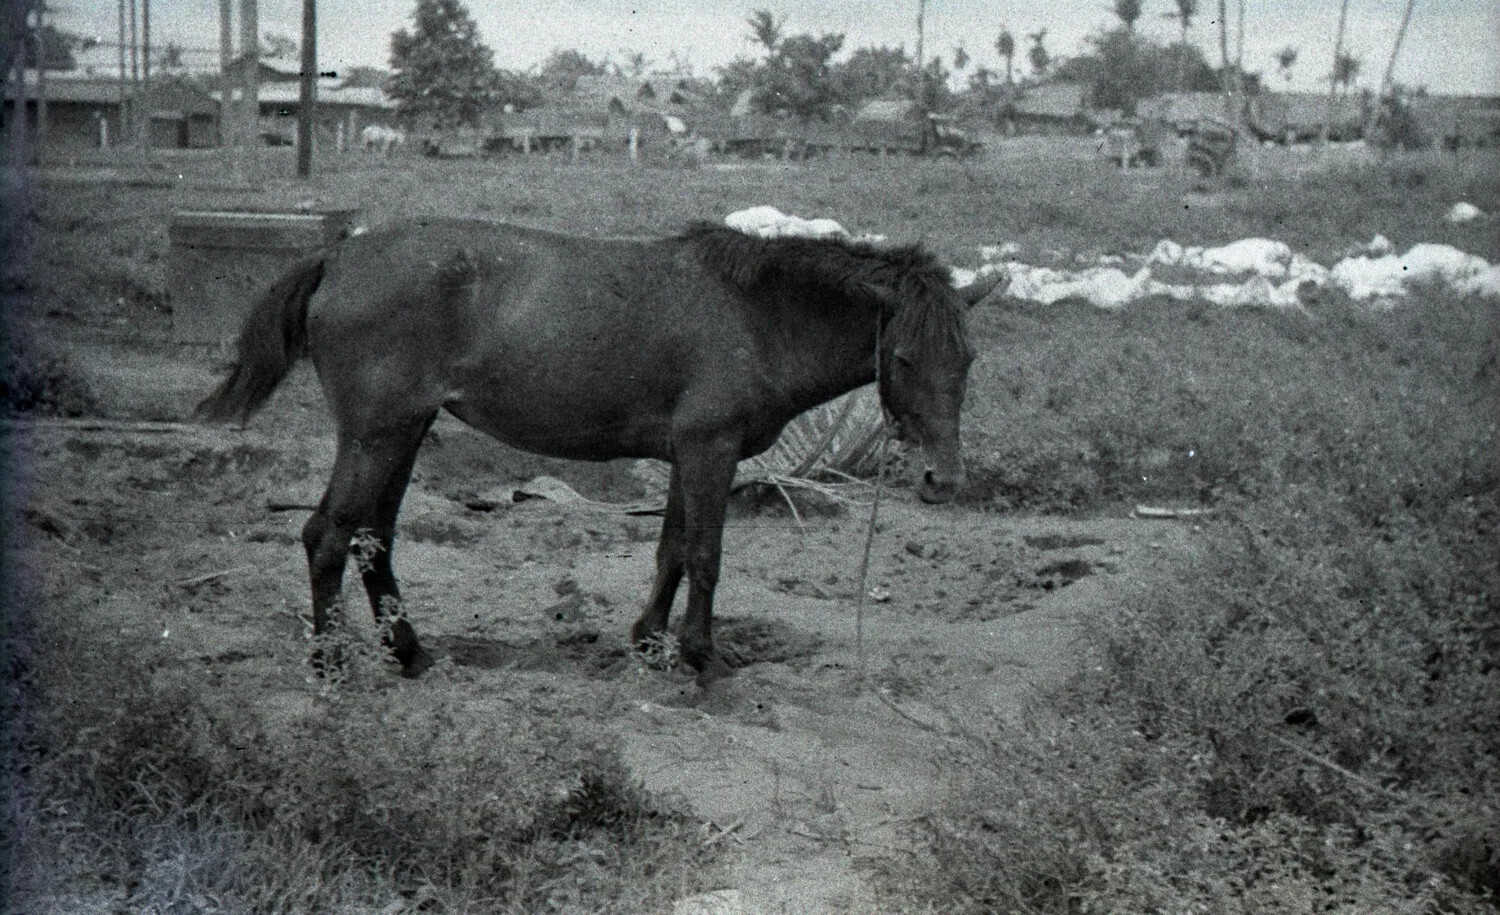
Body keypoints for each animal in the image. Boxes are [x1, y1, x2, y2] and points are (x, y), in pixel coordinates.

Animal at [197, 219, 1001, 684]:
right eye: (903, 358)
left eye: (967, 359)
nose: (944, 477)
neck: (757, 316)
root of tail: (337, 255)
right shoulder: (711, 451)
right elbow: (705, 554)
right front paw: (701, 658)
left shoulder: (688, 454)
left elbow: (671, 550)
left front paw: (649, 642)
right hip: (379, 433)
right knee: (326, 535)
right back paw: (331, 665)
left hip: (406, 431)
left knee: (373, 536)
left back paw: (411, 652)